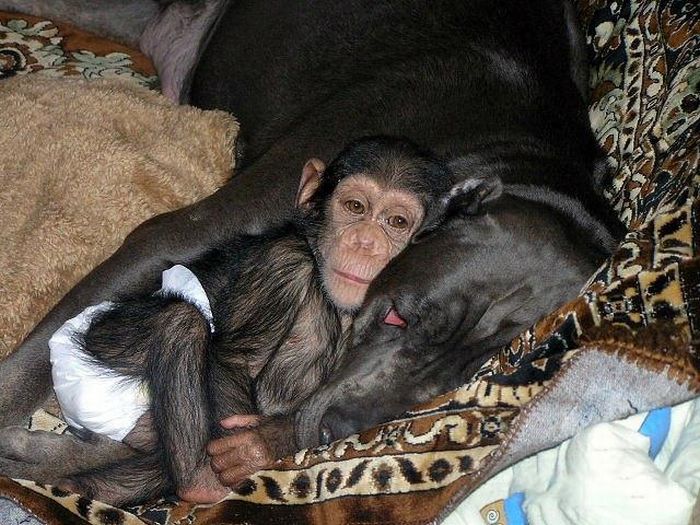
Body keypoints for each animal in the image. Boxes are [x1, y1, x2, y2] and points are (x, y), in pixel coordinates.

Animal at [53, 134, 492, 504]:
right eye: (356, 207)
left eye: (396, 222)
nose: (364, 242)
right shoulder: (281, 267)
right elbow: (235, 359)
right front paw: (244, 453)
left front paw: (257, 446)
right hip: (102, 346)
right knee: (181, 321)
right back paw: (199, 482)